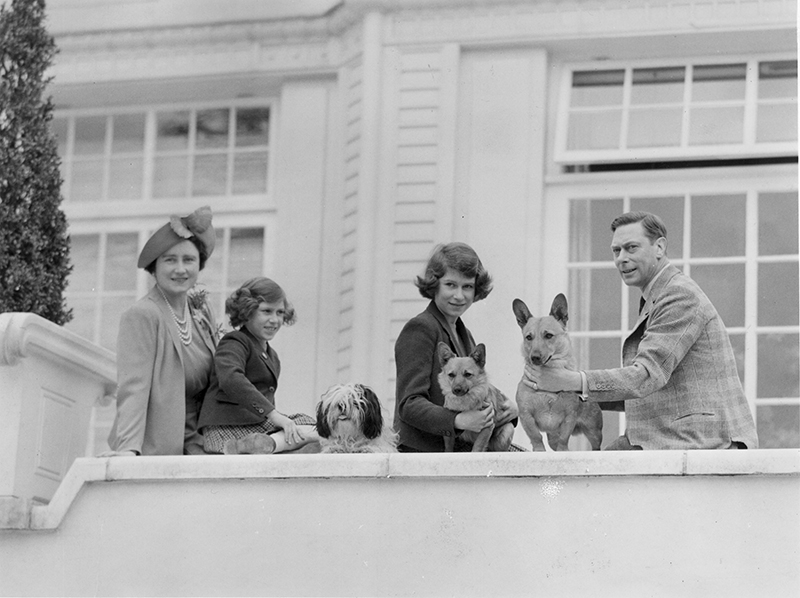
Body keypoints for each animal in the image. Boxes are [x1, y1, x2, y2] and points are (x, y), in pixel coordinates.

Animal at [512, 292, 600, 452]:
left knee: (596, 446)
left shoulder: (569, 417)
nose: (534, 357)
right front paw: (539, 450)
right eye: (529, 337)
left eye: (548, 335)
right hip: (552, 436)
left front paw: (563, 450)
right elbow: (535, 436)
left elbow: (564, 438)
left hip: (594, 431)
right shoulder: (526, 416)